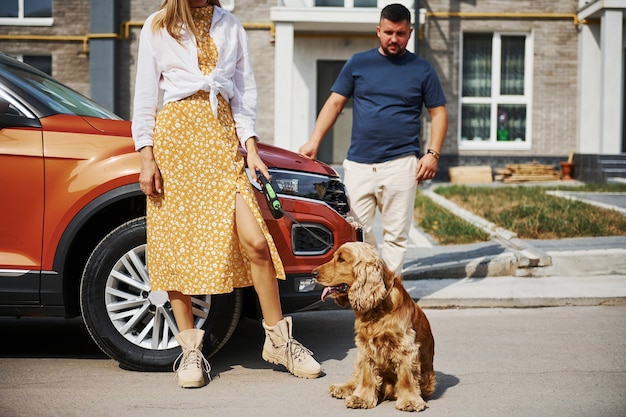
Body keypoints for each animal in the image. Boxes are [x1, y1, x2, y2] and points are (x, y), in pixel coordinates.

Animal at [312, 240, 434, 410]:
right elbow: (366, 376)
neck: (377, 309)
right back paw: (342, 388)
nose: (313, 273)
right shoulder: (365, 347)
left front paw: (410, 401)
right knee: (356, 377)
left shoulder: (405, 346)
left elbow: (406, 377)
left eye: (341, 259)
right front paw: (361, 398)